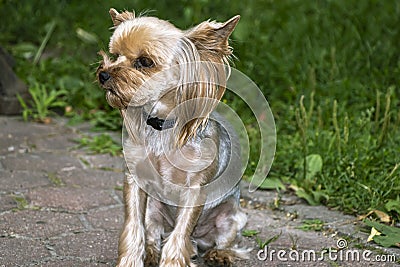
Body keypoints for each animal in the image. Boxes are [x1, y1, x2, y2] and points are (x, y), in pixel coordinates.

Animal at [96, 7, 247, 266]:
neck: (161, 125)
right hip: (154, 209)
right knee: (153, 232)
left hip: (232, 217)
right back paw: (152, 252)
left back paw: (219, 254)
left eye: (145, 62)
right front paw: (131, 260)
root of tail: (200, 241)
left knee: (226, 240)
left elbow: (179, 235)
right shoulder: (135, 181)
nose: (103, 74)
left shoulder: (194, 190)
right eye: (115, 55)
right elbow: (134, 227)